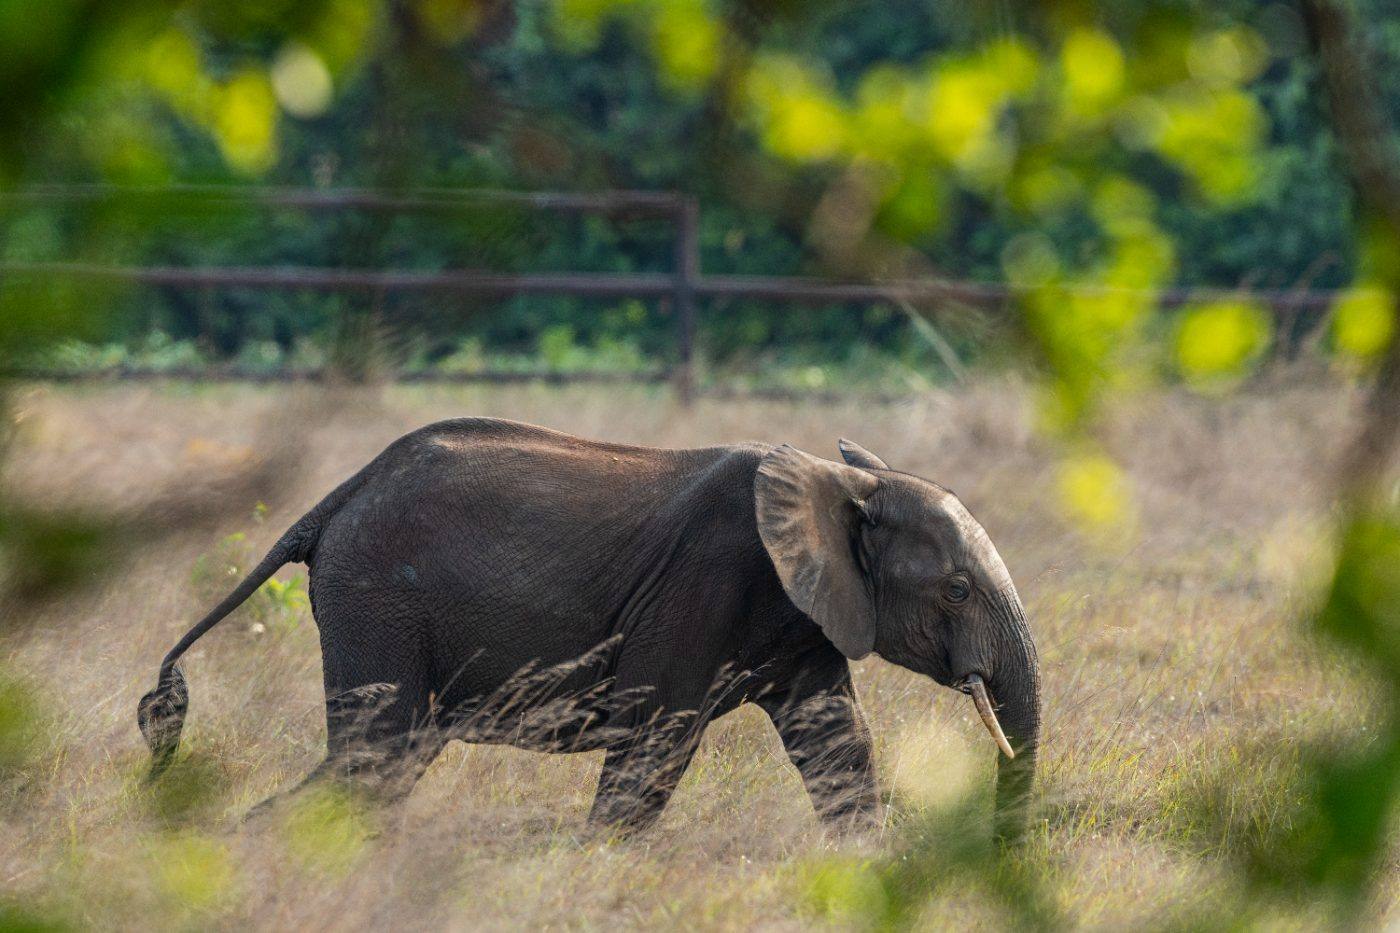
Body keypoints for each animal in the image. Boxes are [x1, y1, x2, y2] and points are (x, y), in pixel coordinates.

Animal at [139, 418, 1040, 840]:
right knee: (373, 758)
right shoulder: (708, 585)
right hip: (378, 598)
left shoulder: (804, 618)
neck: (838, 480)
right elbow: (656, 740)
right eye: (958, 588)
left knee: (386, 763)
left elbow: (838, 743)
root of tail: (334, 499)